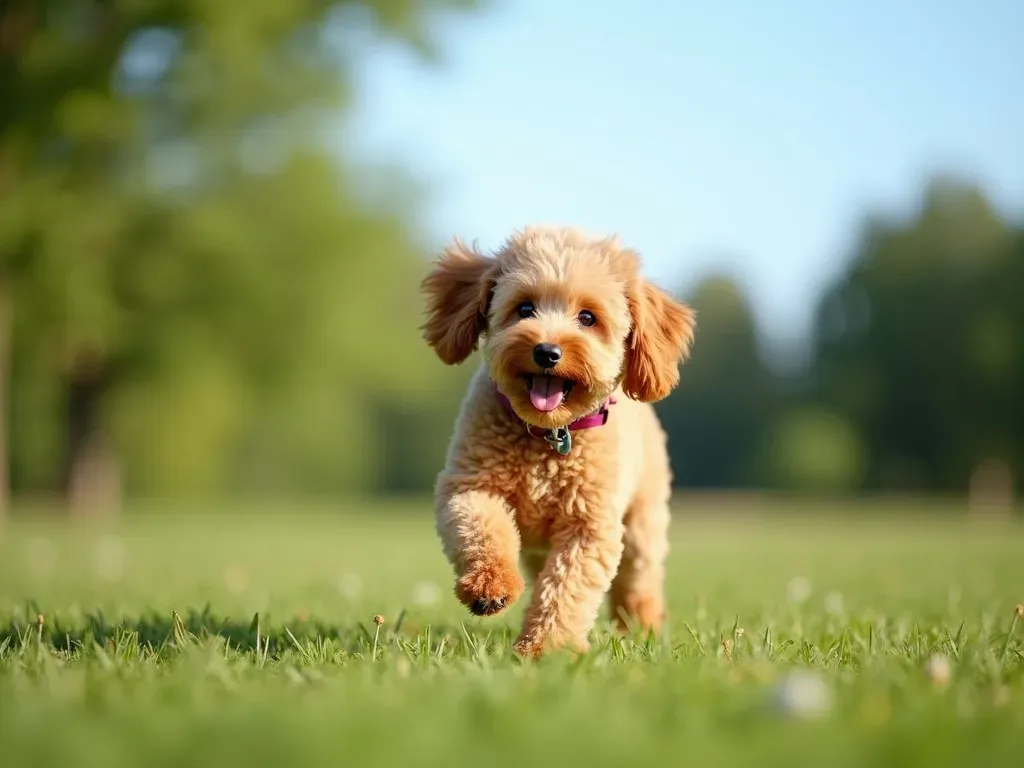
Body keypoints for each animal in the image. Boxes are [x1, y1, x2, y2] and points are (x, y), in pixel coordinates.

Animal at [417, 227, 696, 655]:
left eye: (587, 318)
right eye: (524, 308)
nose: (547, 351)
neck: (548, 435)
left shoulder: (590, 526)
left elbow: (566, 590)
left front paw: (546, 650)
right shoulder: (469, 486)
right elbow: (482, 528)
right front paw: (490, 587)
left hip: (642, 523)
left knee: (639, 579)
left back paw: (640, 629)